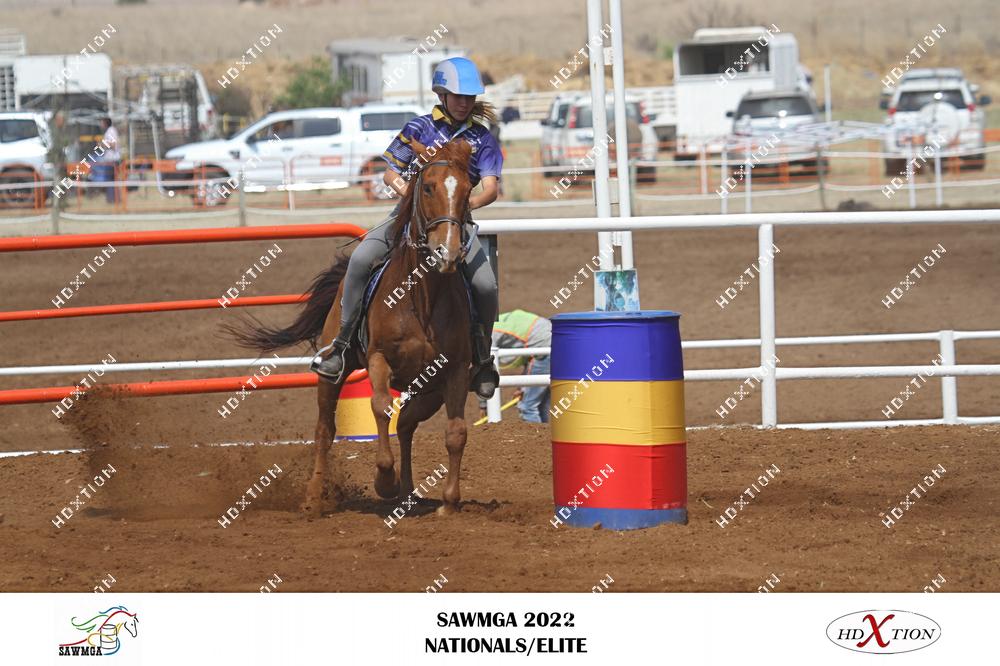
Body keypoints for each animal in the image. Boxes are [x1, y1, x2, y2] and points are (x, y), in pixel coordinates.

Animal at [227, 138, 477, 517]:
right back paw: (315, 496)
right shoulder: (378, 359)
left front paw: (449, 502)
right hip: (332, 375)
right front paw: (384, 481)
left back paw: (408, 493)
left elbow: (457, 431)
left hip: (427, 389)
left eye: (467, 189)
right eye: (429, 187)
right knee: (325, 430)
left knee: (407, 425)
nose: (446, 253)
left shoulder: (455, 370)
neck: (421, 298)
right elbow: (380, 406)